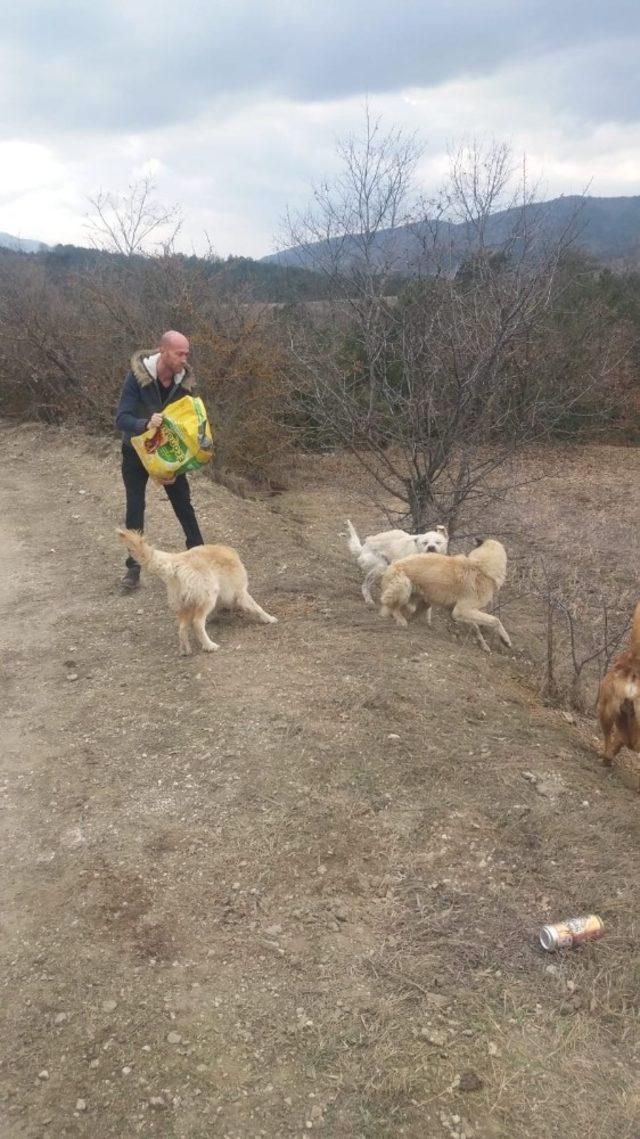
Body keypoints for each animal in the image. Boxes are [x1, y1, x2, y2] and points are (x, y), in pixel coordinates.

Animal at [115, 528, 275, 656]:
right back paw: (209, 646)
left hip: (185, 604)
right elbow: (257, 607)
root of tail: (176, 561)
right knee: (197, 623)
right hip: (208, 596)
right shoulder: (241, 592)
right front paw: (269, 618)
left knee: (182, 628)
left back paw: (186, 650)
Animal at [378, 537, 507, 656]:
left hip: (424, 600)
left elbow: (475, 628)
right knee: (393, 608)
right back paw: (401, 620)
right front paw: (505, 639)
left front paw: (484, 645)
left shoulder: (459, 611)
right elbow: (495, 620)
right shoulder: (461, 610)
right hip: (404, 585)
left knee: (409, 612)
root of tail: (390, 566)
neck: (482, 567)